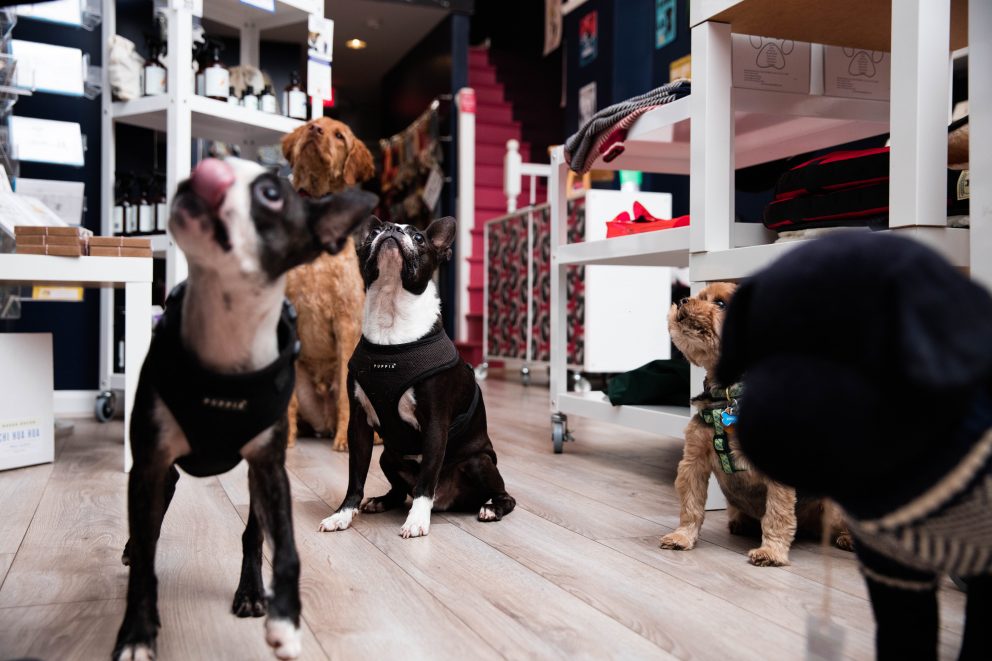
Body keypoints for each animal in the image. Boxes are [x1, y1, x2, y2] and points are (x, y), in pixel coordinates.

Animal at [115, 156, 376, 660]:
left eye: (272, 194)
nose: (206, 172)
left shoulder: (269, 468)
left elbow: (284, 547)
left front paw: (285, 620)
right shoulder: (151, 465)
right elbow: (145, 554)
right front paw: (137, 631)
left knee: (253, 532)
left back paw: (252, 591)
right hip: (165, 474)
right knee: (148, 532)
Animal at [282, 117, 376, 448]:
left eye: (339, 136)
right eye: (311, 123)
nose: (314, 131)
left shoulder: (346, 320)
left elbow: (349, 399)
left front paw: (346, 441)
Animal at [320, 217, 520, 536]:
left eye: (418, 238)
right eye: (373, 233)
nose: (391, 230)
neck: (391, 312)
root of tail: (447, 502)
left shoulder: (436, 424)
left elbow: (427, 478)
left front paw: (416, 520)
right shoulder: (358, 425)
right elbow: (355, 476)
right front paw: (342, 514)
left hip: (479, 461)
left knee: (503, 496)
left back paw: (491, 508)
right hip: (388, 456)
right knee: (400, 491)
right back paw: (381, 501)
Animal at [660, 282, 852, 564]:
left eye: (720, 303)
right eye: (699, 296)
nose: (683, 300)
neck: (729, 395)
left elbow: (777, 513)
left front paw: (771, 552)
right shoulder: (693, 462)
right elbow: (690, 505)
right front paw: (682, 536)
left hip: (833, 507)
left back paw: (847, 539)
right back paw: (740, 522)